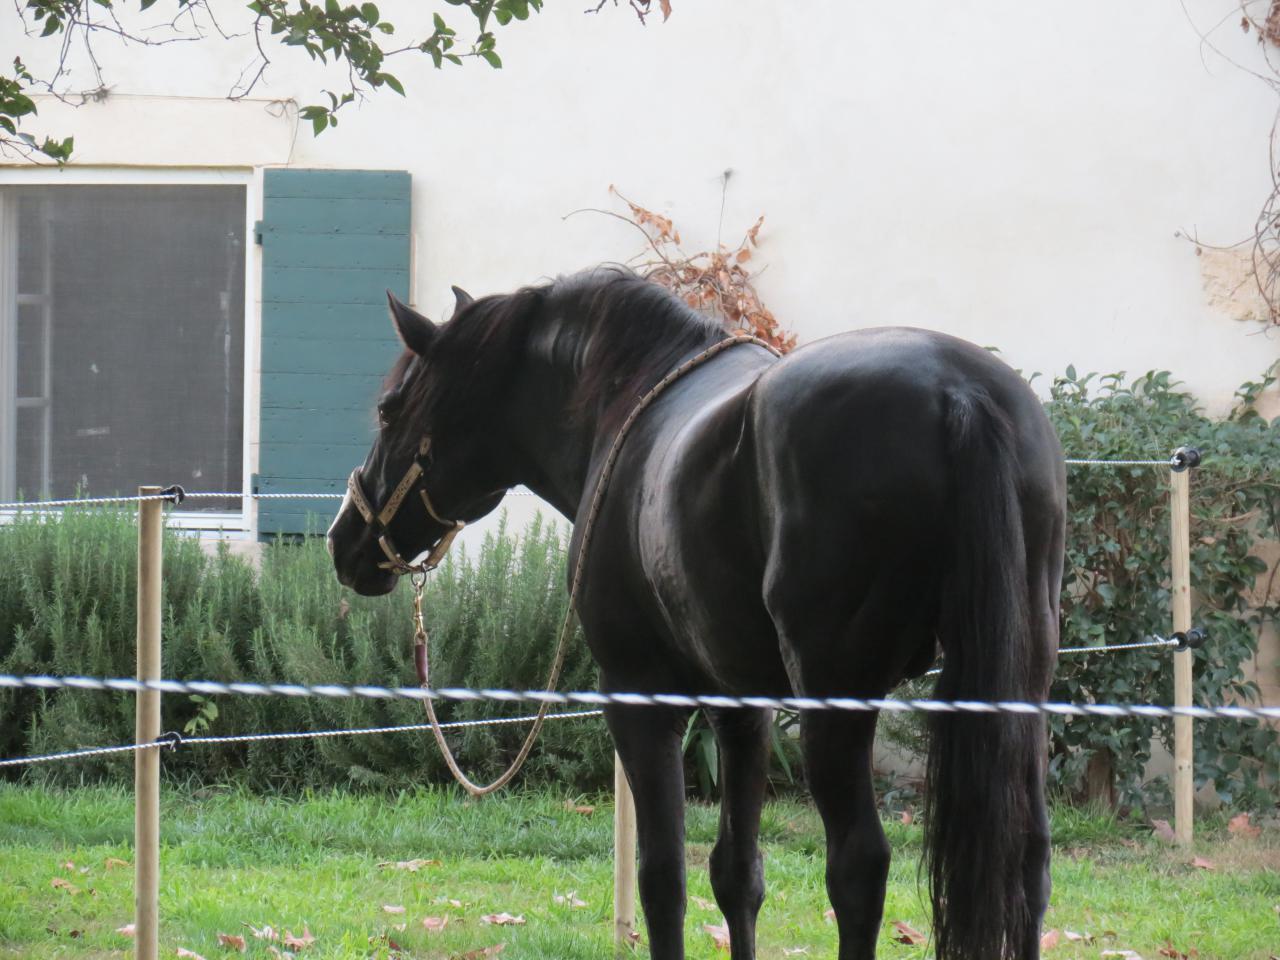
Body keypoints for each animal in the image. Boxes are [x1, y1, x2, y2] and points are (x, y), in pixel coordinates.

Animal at [327, 267, 1066, 960]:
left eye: (390, 410)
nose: (345, 542)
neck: (622, 401)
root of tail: (957, 393)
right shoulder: (742, 708)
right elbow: (736, 873)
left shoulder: (641, 698)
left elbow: (662, 877)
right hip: (1018, 690)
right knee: (1027, 860)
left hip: (837, 703)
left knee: (859, 865)